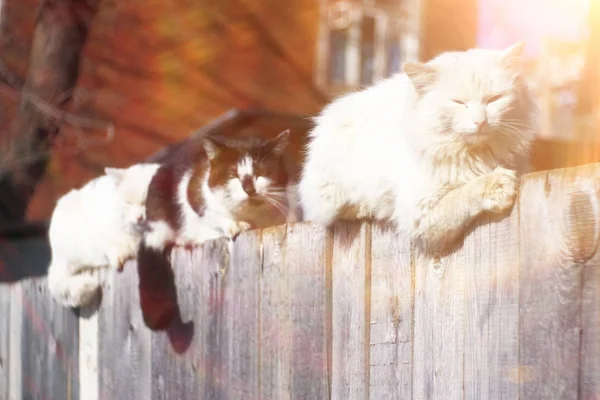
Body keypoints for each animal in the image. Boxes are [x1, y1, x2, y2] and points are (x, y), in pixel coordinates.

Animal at [47, 162, 159, 306]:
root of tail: (55, 259)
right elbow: (111, 245)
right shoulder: (98, 231)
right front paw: (122, 253)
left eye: (147, 201)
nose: (139, 217)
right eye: (128, 202)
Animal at [300, 43, 540, 255]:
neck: (476, 156)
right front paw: (498, 183)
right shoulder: (421, 211)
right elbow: (465, 193)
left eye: (494, 100)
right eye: (458, 102)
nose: (480, 121)